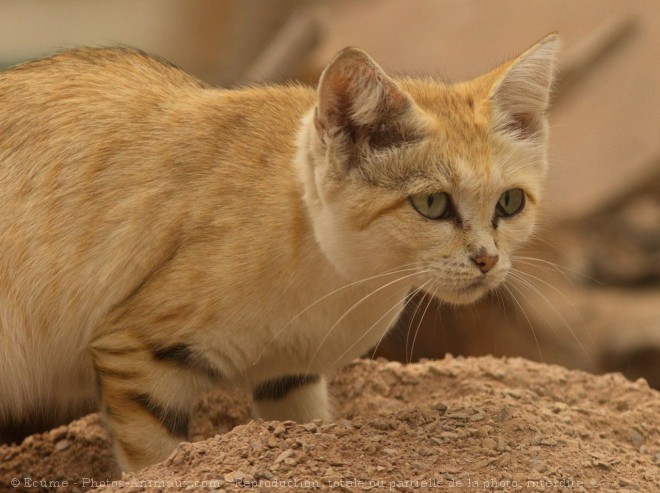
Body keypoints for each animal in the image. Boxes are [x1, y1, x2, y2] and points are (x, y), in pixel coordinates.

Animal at [0, 35, 556, 468]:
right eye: (432, 204)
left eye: (509, 202)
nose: (487, 259)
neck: (339, 278)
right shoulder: (135, 351)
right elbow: (155, 463)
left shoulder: (290, 376)